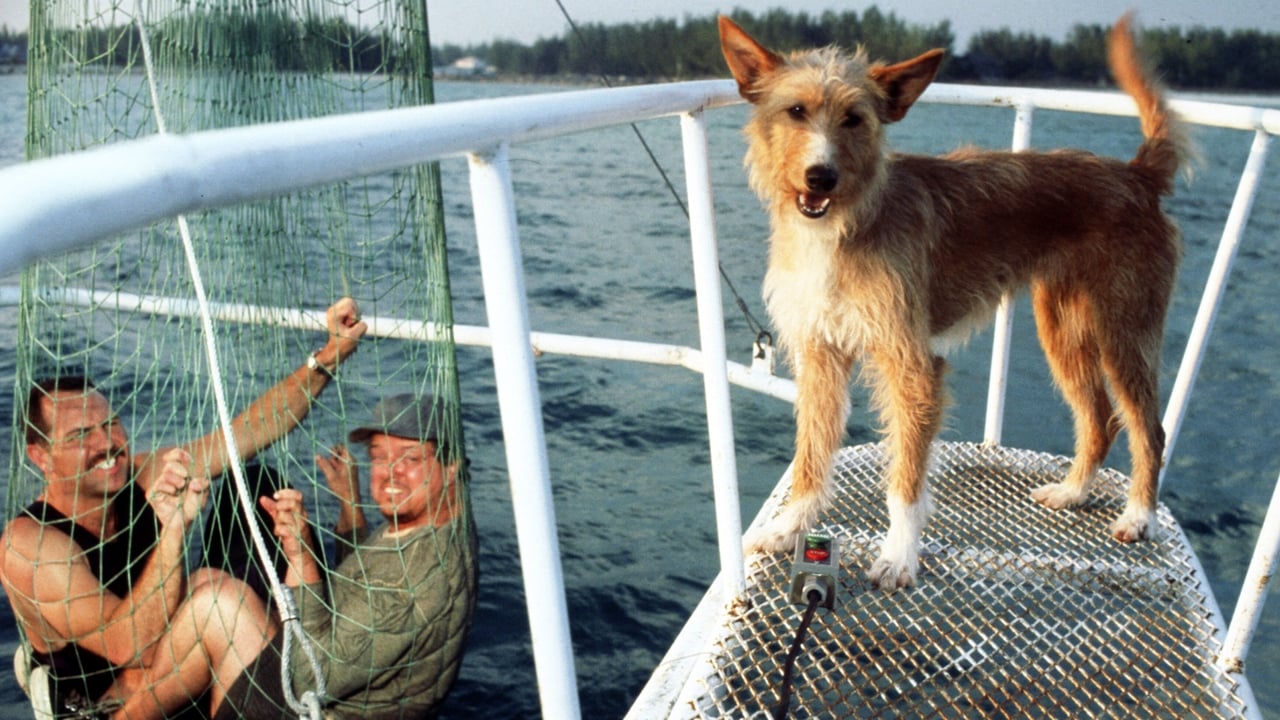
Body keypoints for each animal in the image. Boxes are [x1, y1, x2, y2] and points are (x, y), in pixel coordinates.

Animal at [721, 15, 1187, 589]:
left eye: (854, 119)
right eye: (795, 111)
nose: (820, 176)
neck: (847, 224)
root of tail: (1136, 174)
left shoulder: (914, 364)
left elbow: (906, 478)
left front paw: (900, 556)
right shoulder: (821, 355)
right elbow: (811, 455)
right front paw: (791, 528)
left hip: (1123, 333)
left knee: (1148, 429)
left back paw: (1139, 516)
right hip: (1062, 330)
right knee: (1098, 418)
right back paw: (1074, 491)